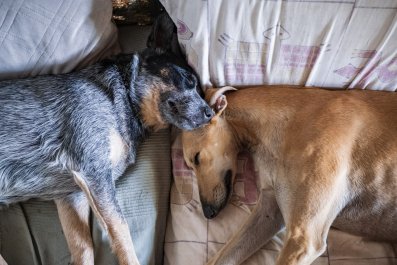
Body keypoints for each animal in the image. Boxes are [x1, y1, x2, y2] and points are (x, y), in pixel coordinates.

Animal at [0, 11, 213, 264]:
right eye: (189, 80)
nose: (211, 113)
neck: (122, 98)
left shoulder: (71, 196)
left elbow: (84, 248)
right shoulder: (95, 172)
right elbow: (122, 231)